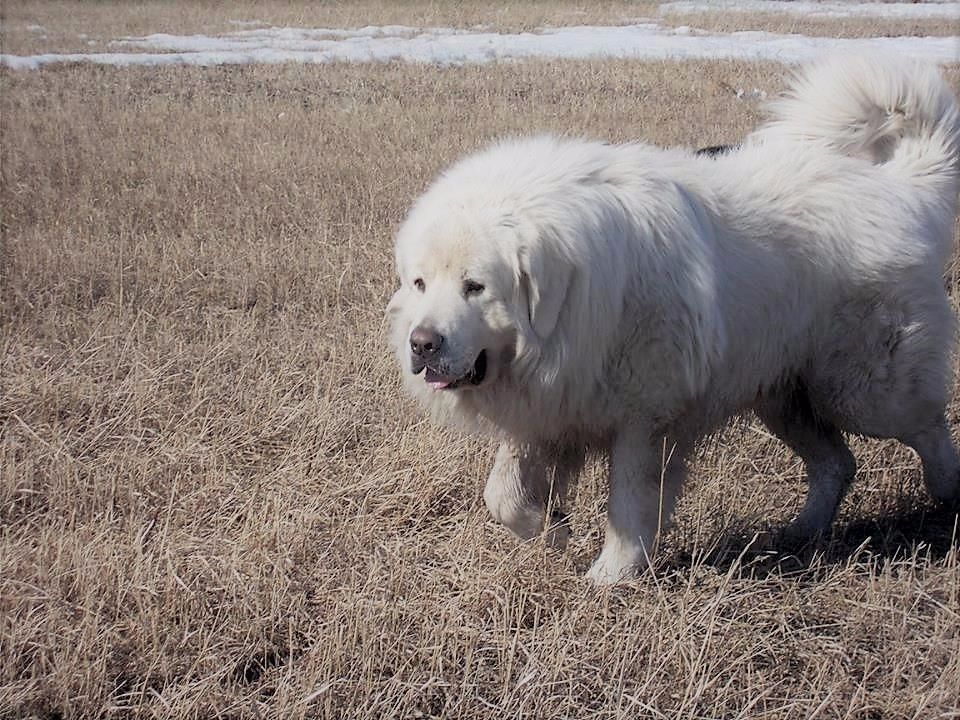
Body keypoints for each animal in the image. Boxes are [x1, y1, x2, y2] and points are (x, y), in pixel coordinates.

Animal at [388, 57, 960, 584]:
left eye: (475, 286)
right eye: (420, 284)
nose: (422, 344)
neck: (582, 296)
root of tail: (900, 189)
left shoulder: (644, 421)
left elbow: (628, 505)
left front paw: (610, 578)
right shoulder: (551, 408)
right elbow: (502, 496)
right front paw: (554, 530)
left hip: (863, 392)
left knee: (927, 427)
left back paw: (948, 497)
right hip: (785, 397)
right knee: (837, 464)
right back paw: (799, 533)